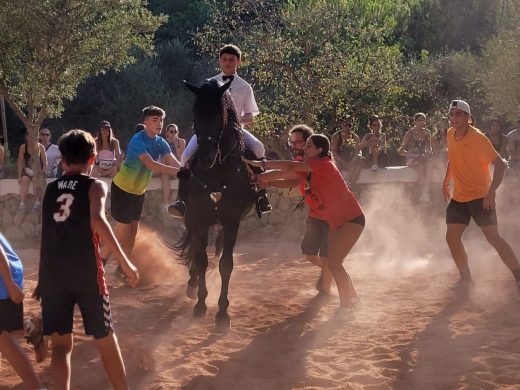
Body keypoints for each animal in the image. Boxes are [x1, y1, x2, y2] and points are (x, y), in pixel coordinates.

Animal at [177, 77, 256, 330]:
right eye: (195, 114)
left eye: (219, 115)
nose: (206, 157)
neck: (216, 172)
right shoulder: (196, 217)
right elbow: (201, 259)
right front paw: (200, 304)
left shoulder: (232, 220)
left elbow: (225, 264)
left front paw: (222, 312)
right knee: (196, 248)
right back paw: (192, 284)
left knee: (218, 245)